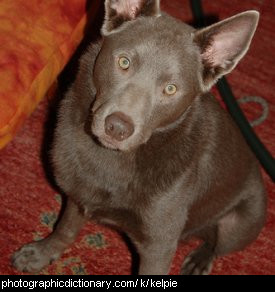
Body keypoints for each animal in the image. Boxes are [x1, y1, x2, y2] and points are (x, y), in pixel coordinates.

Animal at [12, 0, 268, 274]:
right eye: (124, 62)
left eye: (171, 89)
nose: (117, 128)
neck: (113, 159)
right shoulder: (77, 193)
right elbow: (65, 228)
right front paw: (42, 253)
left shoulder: (158, 246)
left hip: (240, 224)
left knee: (216, 246)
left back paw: (199, 261)